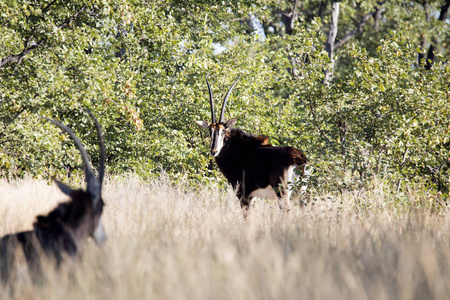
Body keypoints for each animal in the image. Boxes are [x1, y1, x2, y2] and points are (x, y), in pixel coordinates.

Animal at [195, 77, 312, 218]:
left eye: (223, 131)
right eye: (210, 131)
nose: (214, 151)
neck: (237, 151)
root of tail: (300, 159)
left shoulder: (244, 195)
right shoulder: (253, 197)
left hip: (283, 193)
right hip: (300, 193)